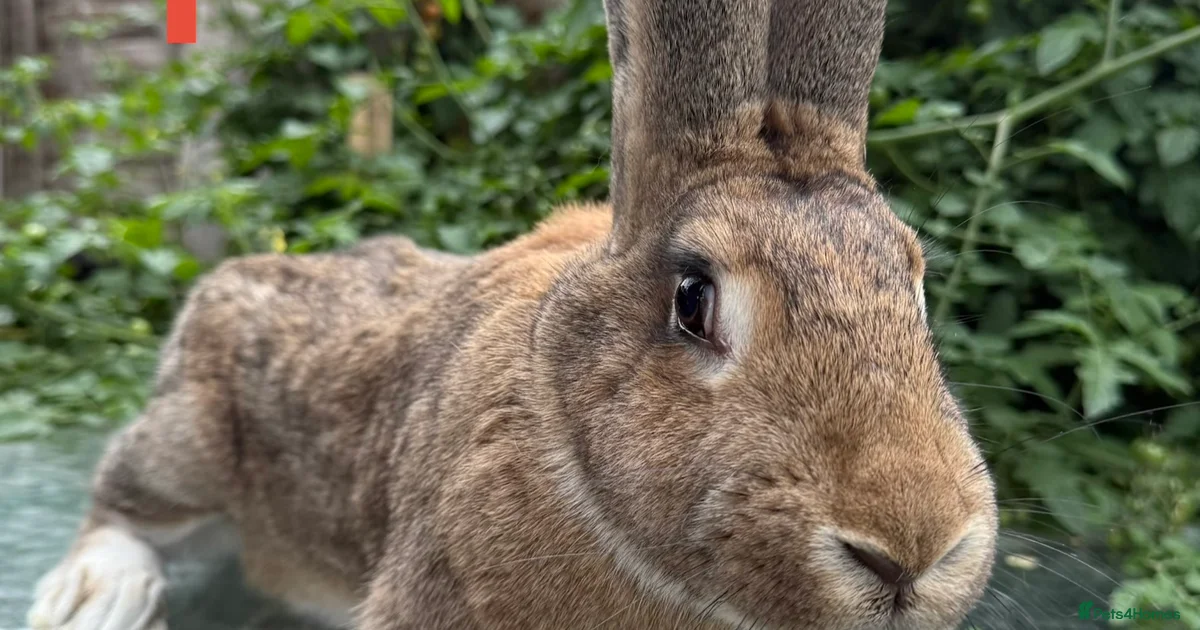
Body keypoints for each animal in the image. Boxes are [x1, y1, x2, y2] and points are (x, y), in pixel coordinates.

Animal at [27, 0, 999, 628]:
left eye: (915, 288)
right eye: (695, 299)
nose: (912, 550)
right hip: (190, 439)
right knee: (121, 498)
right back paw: (95, 599)